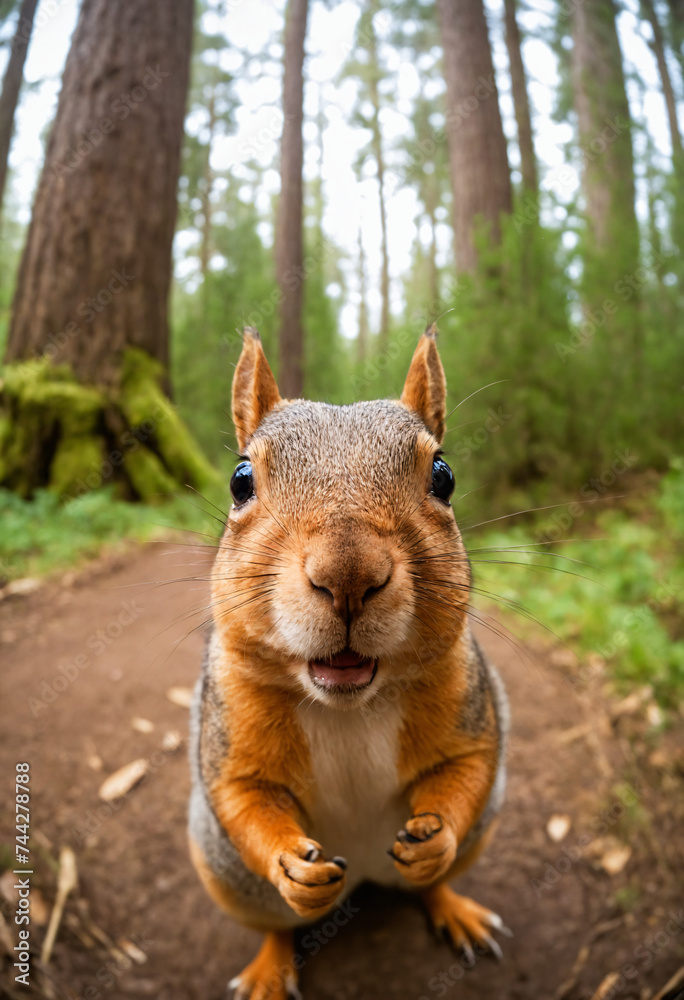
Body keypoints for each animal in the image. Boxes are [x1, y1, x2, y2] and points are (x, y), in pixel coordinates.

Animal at [188, 324, 510, 1000]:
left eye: (443, 475)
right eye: (239, 481)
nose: (348, 575)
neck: (349, 707)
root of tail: (364, 876)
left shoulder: (467, 697)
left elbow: (469, 765)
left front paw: (436, 838)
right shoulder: (229, 725)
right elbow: (242, 796)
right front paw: (291, 864)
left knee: (432, 882)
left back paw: (451, 904)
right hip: (226, 877)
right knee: (274, 924)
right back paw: (270, 964)